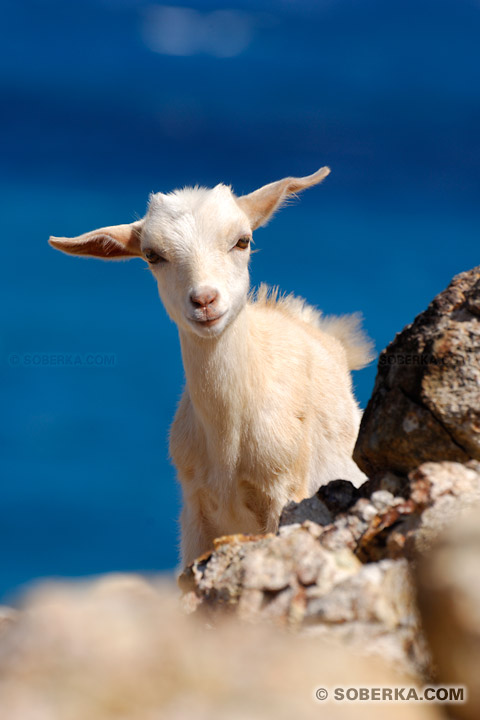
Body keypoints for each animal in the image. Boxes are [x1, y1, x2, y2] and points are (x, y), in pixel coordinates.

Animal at [48, 167, 374, 564]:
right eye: (152, 255)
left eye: (243, 241)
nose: (204, 300)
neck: (227, 440)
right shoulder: (195, 513)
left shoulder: (285, 490)